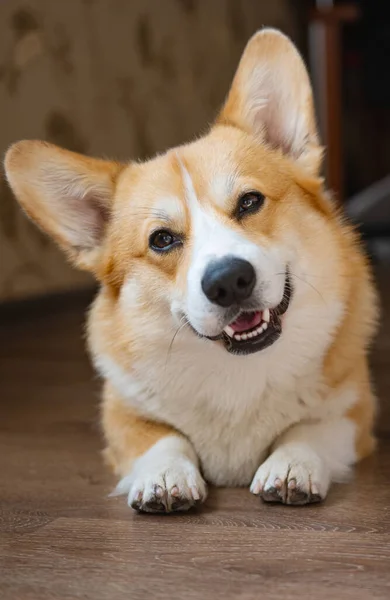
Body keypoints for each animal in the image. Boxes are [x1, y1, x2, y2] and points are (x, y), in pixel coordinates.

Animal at [5, 29, 378, 510]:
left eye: (250, 202)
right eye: (162, 240)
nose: (229, 282)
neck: (238, 370)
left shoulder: (353, 412)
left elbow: (309, 429)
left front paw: (291, 464)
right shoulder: (122, 417)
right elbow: (162, 438)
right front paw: (164, 475)